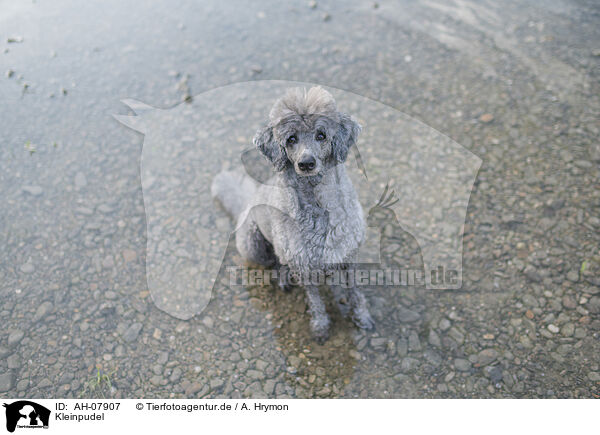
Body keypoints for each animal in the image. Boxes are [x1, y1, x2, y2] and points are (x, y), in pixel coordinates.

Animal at [210, 87, 370, 342]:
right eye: (291, 139)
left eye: (321, 135)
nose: (306, 163)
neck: (318, 207)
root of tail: (247, 201)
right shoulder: (303, 266)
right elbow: (316, 302)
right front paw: (321, 327)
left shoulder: (348, 257)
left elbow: (354, 292)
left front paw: (361, 316)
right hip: (254, 246)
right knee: (276, 262)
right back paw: (284, 278)